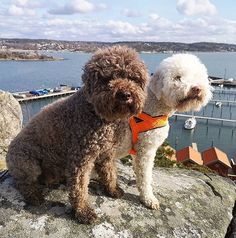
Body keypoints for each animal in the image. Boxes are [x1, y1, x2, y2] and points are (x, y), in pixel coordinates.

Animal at [6, 45, 148, 224]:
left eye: (133, 78)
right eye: (108, 78)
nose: (126, 95)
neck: (99, 115)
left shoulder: (106, 154)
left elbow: (109, 173)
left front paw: (112, 189)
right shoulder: (81, 158)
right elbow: (79, 187)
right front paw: (82, 211)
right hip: (27, 163)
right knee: (23, 182)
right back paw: (34, 196)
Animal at [114, 53, 212, 209]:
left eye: (197, 75)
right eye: (177, 77)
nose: (196, 88)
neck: (154, 107)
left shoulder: (140, 149)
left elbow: (141, 171)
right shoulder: (146, 148)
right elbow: (145, 175)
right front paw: (148, 198)